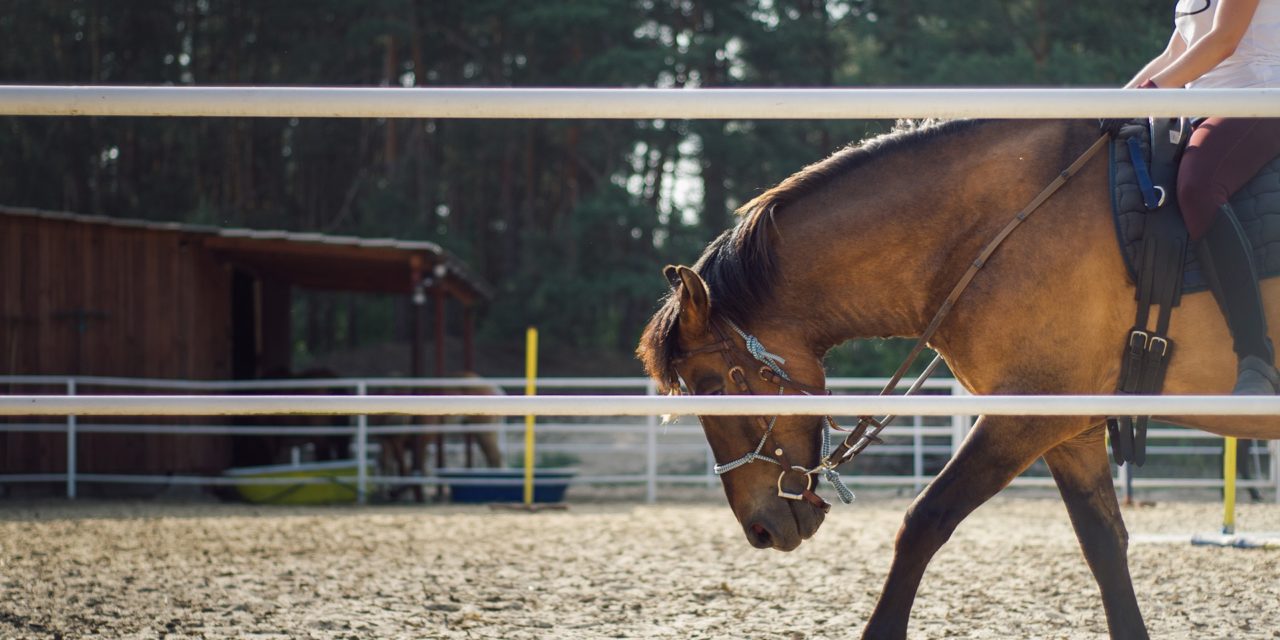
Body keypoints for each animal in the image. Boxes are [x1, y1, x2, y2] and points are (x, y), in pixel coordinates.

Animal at [634, 120, 1280, 640]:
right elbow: (1104, 547)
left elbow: (924, 522)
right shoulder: (1068, 431)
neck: (999, 229)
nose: (761, 528)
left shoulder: (1023, 417)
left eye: (711, 387)